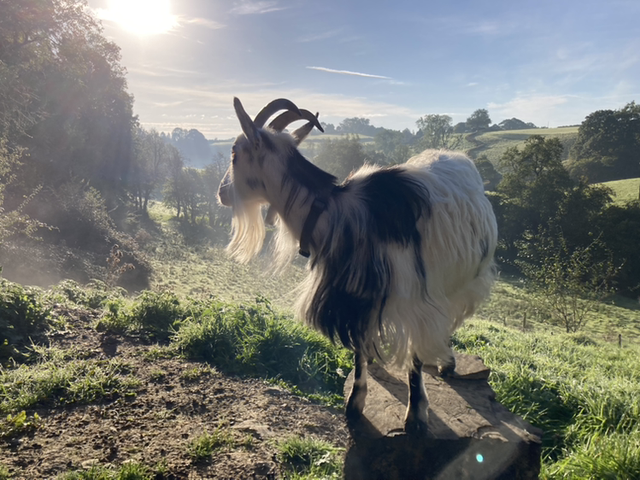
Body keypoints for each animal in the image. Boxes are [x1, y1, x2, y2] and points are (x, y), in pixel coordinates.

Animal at [218, 97, 498, 434]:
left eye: (234, 152)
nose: (221, 193)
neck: (336, 213)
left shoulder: (415, 298)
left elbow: (414, 359)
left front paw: (416, 415)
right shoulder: (354, 296)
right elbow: (359, 350)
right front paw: (355, 402)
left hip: (466, 278)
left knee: (450, 316)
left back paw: (446, 360)